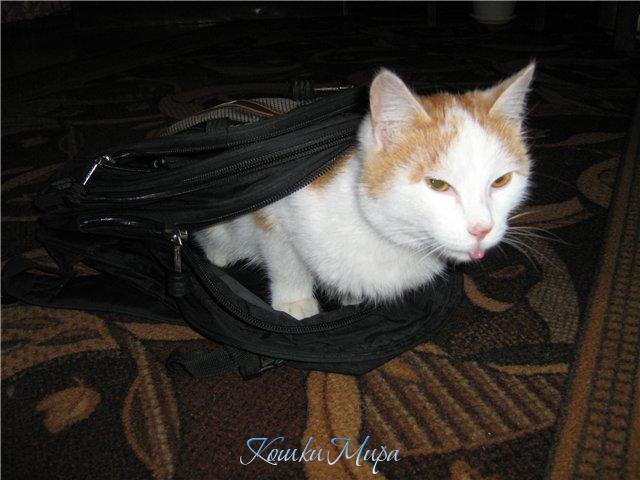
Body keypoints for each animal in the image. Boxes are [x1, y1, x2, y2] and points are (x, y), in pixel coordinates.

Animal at [196, 63, 535, 319]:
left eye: (501, 181)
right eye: (438, 184)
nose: (481, 228)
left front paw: (348, 296)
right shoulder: (275, 208)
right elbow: (285, 257)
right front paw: (294, 300)